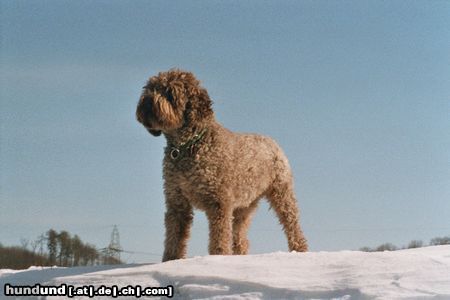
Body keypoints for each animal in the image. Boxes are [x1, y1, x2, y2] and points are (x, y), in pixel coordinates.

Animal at [135, 69, 308, 262]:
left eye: (169, 92)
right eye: (150, 88)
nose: (147, 102)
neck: (187, 145)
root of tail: (272, 141)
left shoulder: (219, 202)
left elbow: (219, 236)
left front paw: (218, 256)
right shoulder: (177, 201)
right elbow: (174, 236)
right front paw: (170, 260)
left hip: (282, 193)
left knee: (292, 223)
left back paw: (300, 249)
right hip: (244, 206)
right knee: (241, 236)